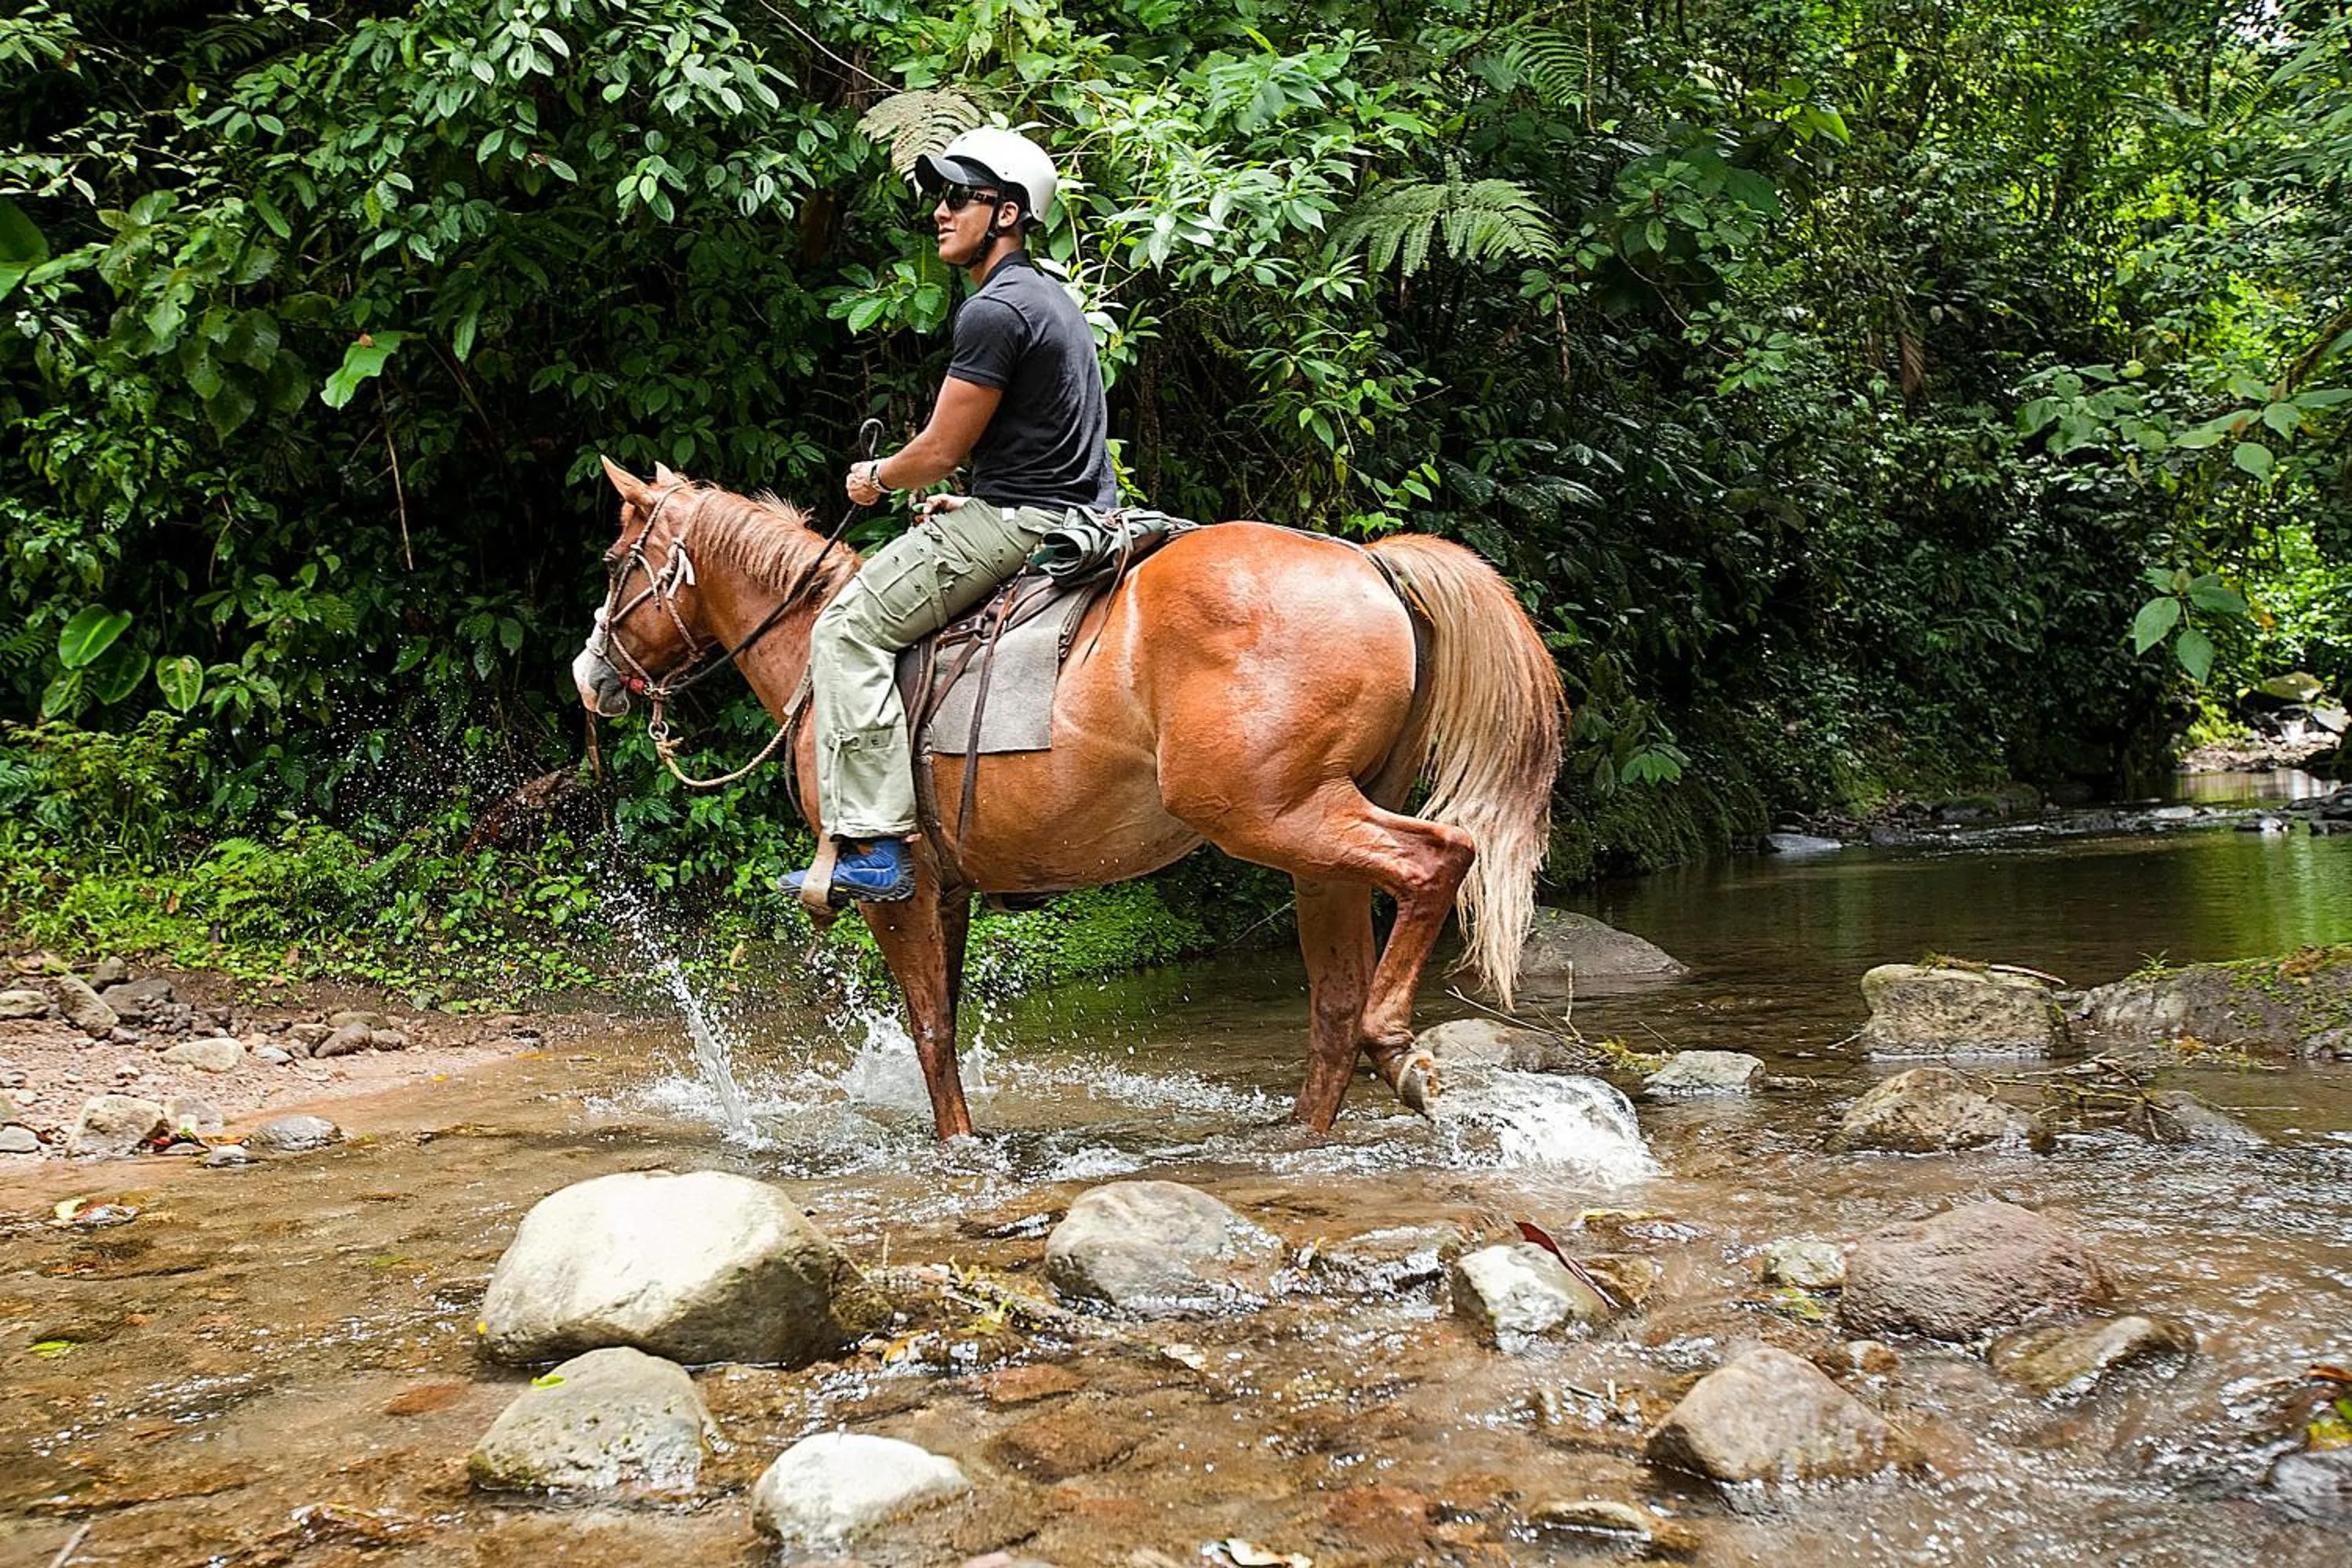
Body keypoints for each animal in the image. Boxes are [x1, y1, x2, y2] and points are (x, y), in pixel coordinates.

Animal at [573, 460, 1564, 1140]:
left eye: (618, 562)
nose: (590, 677)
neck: (820, 647)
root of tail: (1370, 566)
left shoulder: (896, 889)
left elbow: (929, 1026)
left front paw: (959, 1148)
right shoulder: (950, 889)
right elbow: (944, 1020)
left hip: (1275, 814)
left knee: (1439, 859)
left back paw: (1396, 1047)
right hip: (1312, 844)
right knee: (1333, 1000)